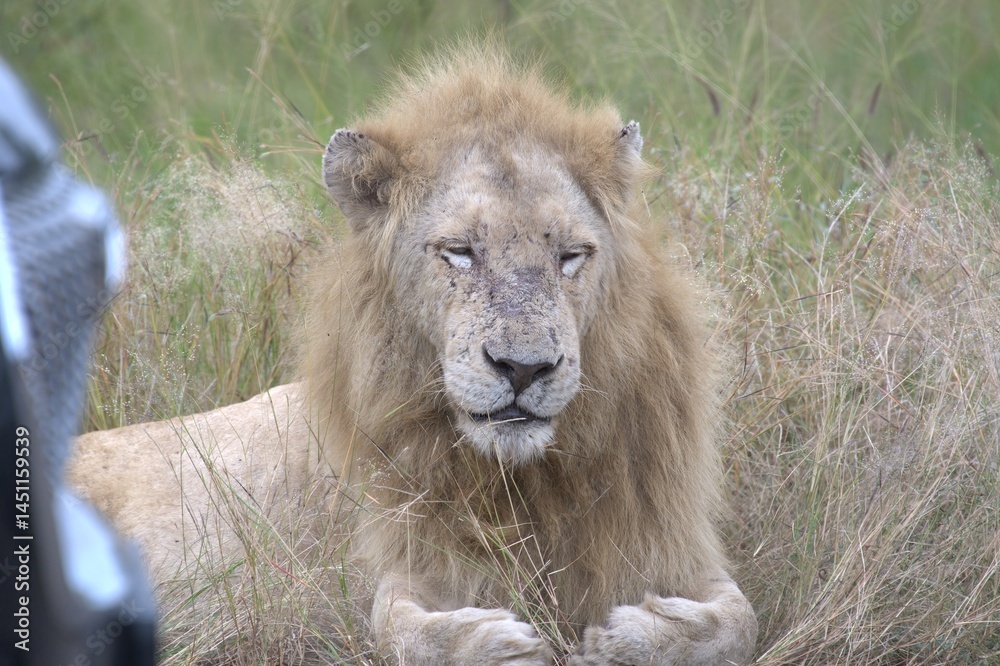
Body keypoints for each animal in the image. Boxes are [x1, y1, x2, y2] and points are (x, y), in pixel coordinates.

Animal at [71, 46, 757, 664]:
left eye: (571, 255)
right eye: (459, 252)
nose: (524, 367)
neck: (524, 481)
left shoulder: (671, 540)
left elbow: (738, 620)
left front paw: (628, 637)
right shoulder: (400, 558)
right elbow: (396, 628)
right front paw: (500, 645)